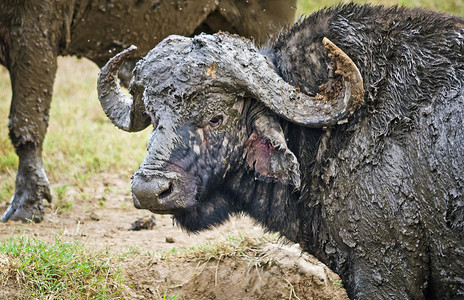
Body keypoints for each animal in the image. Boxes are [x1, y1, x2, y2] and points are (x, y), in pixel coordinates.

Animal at [0, 0, 296, 220]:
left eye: (216, 118)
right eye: (153, 118)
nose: (147, 190)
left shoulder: (34, 32)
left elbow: (26, 122)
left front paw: (26, 205)